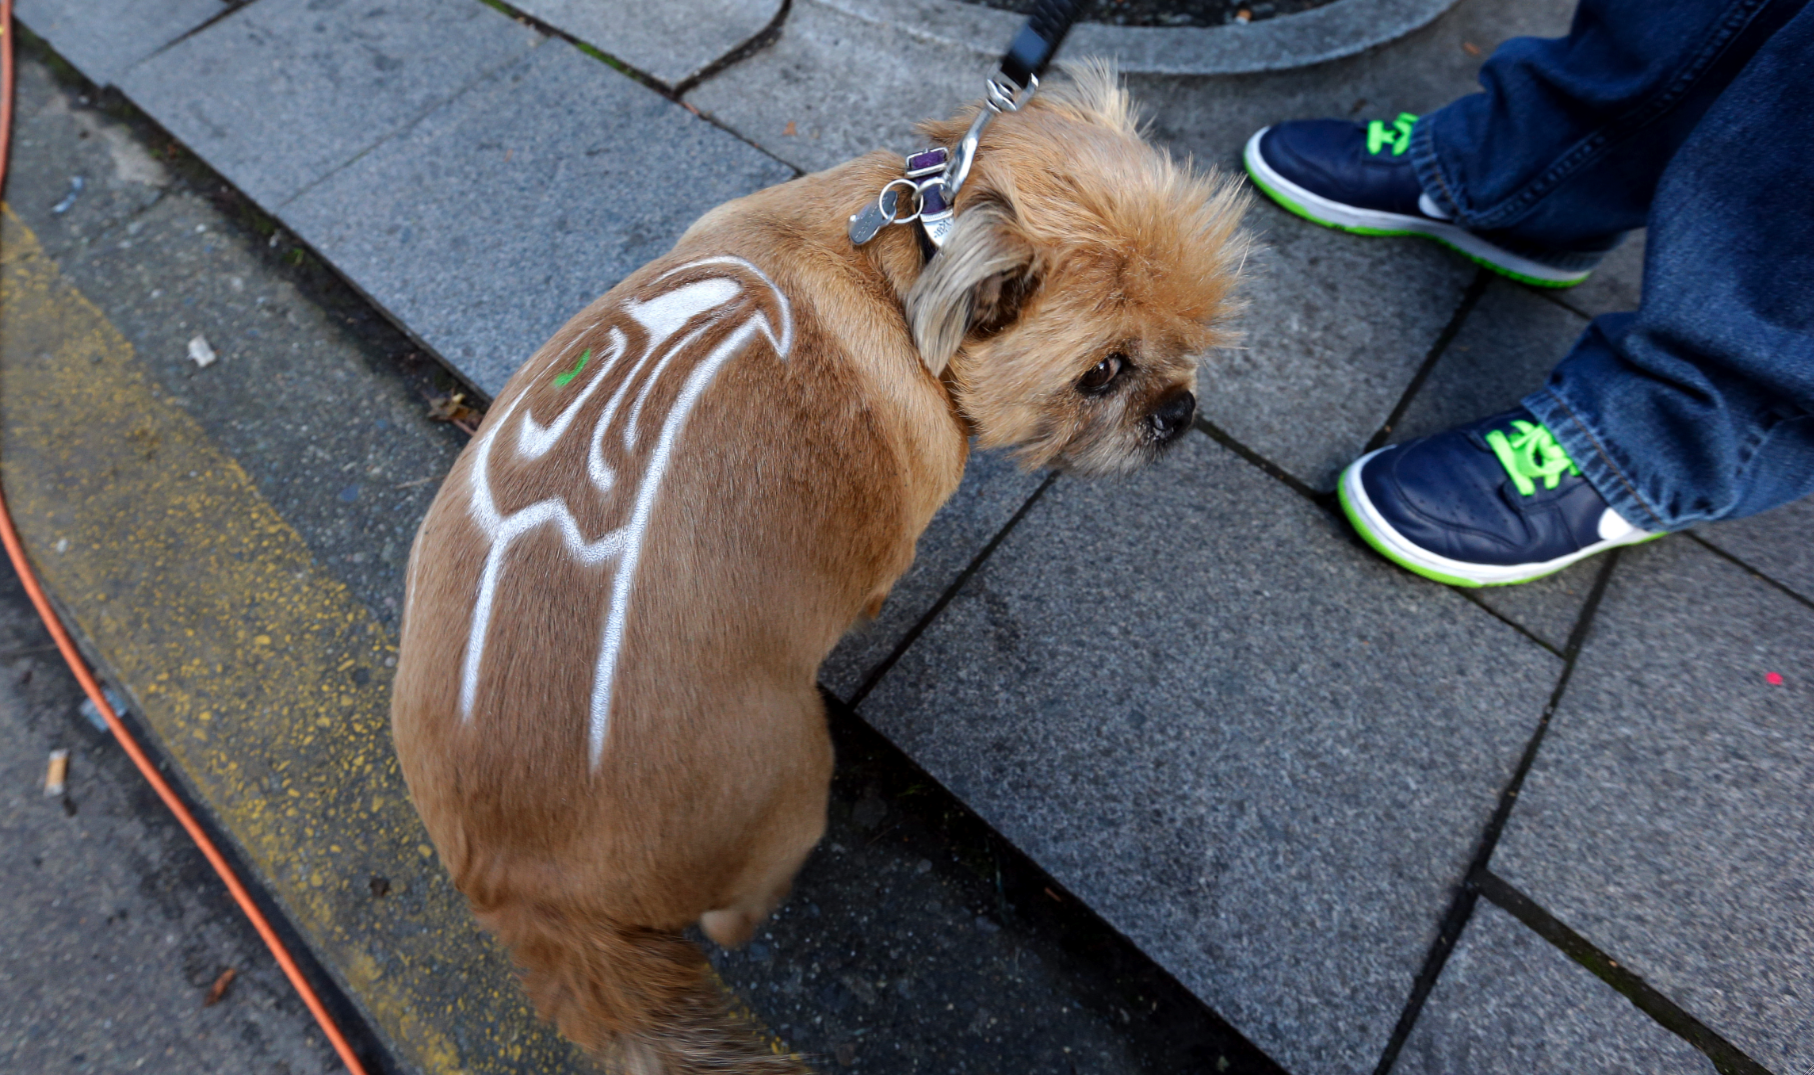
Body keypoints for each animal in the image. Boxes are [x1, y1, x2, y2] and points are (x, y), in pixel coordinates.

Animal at [395, 69, 1248, 1073]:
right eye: (1103, 373)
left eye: (1201, 333)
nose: (1179, 411)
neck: (914, 239)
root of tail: (526, 888)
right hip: (794, 778)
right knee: (734, 910)